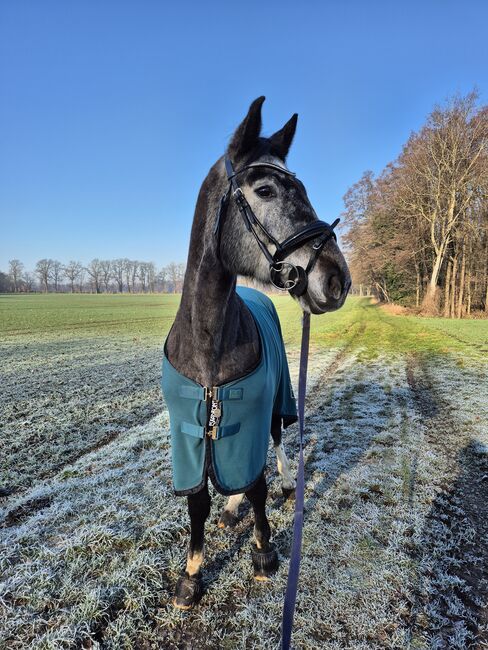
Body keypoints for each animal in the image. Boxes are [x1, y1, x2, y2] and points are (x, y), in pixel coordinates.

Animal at [160, 96, 350, 608]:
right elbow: (198, 500)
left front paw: (264, 553)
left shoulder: (252, 408)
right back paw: (231, 509)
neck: (207, 343)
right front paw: (192, 574)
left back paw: (285, 483)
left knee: (277, 441)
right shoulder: (190, 434)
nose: (337, 280)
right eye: (265, 189)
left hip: (276, 398)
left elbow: (259, 486)